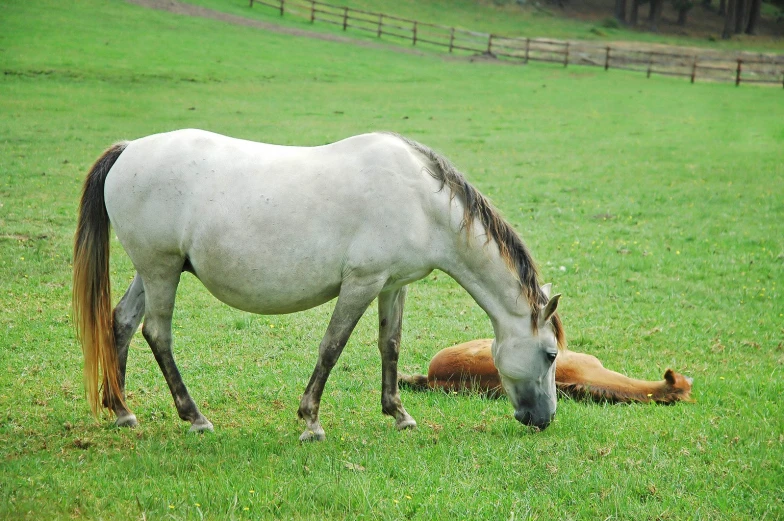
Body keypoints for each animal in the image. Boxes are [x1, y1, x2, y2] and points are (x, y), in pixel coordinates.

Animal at [73, 130, 564, 438]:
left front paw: (399, 414)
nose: (544, 419)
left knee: (122, 323)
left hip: (155, 270)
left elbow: (390, 345)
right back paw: (195, 418)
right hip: (161, 270)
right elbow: (332, 346)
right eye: (550, 354)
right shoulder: (362, 283)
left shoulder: (393, 285)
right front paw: (311, 421)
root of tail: (129, 150)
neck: (421, 200)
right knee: (157, 333)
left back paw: (122, 410)